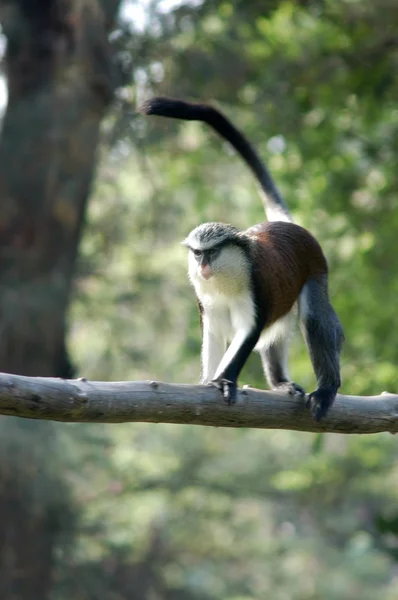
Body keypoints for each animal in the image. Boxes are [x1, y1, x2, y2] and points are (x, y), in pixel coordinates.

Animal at [141, 97, 344, 422]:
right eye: (197, 253)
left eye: (212, 252)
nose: (203, 266)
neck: (228, 277)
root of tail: (286, 225)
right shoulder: (205, 301)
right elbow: (212, 332)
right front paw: (206, 382)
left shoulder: (257, 286)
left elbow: (249, 331)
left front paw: (224, 381)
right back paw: (279, 382)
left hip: (316, 271)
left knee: (315, 320)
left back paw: (326, 390)